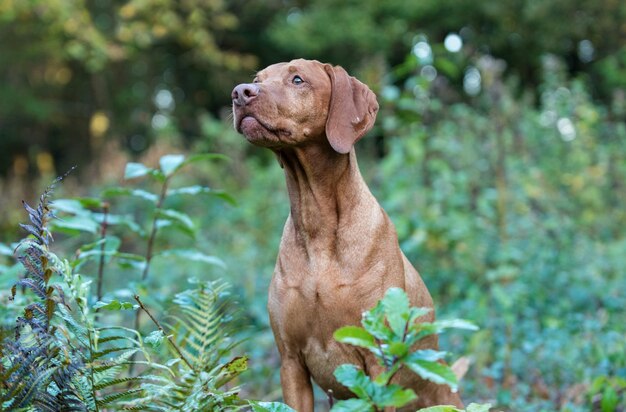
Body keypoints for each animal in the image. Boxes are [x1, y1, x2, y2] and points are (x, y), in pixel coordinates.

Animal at [232, 59, 460, 410]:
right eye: (258, 79)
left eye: (297, 79)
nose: (240, 92)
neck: (316, 223)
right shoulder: (290, 362)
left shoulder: (379, 361)